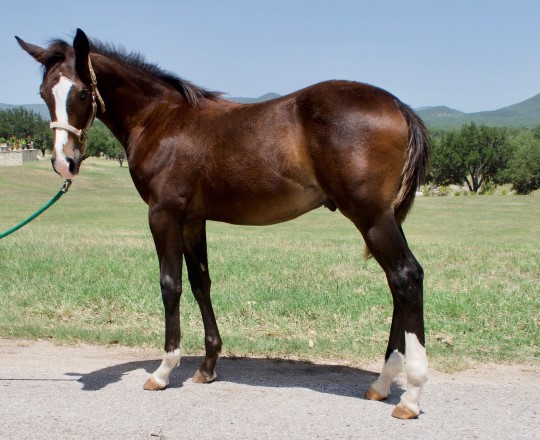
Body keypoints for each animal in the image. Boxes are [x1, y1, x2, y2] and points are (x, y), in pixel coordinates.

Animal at [16, 28, 428, 420]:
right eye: (44, 93)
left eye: (83, 92)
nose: (64, 162)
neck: (160, 119)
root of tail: (397, 105)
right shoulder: (192, 220)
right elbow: (201, 284)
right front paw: (207, 366)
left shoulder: (163, 214)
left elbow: (171, 285)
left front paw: (163, 371)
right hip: (382, 219)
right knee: (398, 283)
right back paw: (383, 383)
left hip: (371, 217)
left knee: (406, 277)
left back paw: (411, 395)